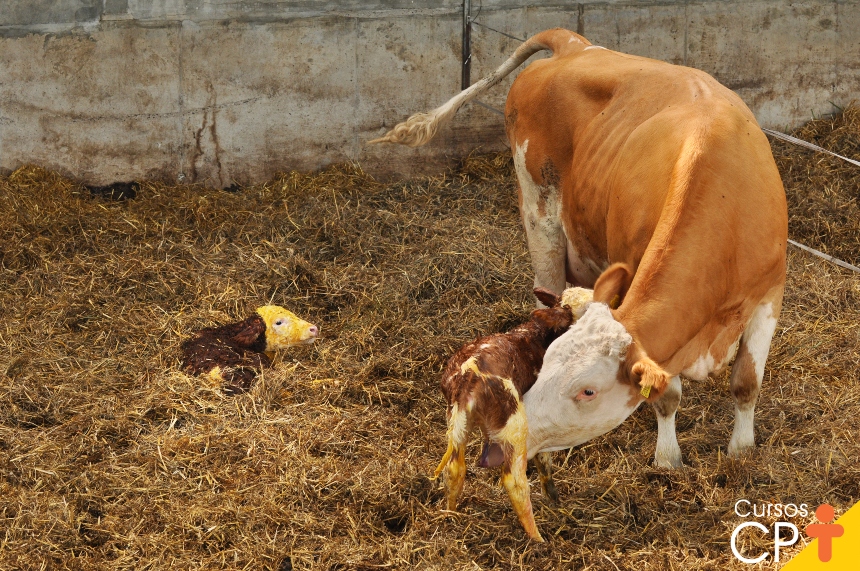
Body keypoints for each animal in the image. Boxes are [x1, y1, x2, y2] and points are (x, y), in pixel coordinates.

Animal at [371, 29, 787, 473]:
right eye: (545, 365)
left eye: (588, 391)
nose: (512, 438)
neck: (726, 199)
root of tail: (572, 44)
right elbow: (667, 395)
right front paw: (667, 458)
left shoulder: (770, 294)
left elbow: (746, 383)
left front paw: (742, 450)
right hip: (538, 212)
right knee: (544, 289)